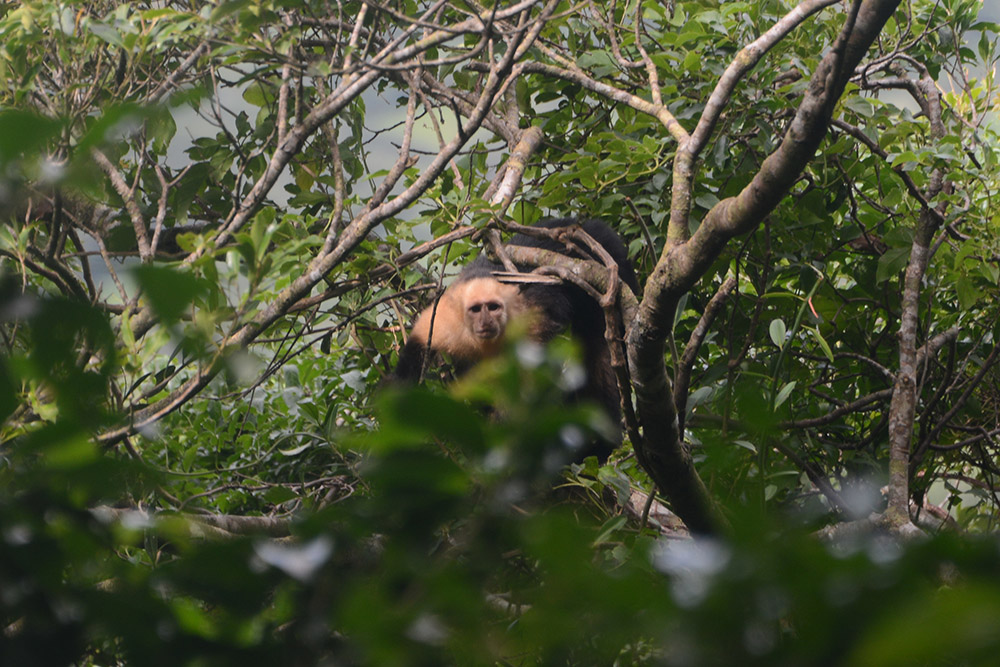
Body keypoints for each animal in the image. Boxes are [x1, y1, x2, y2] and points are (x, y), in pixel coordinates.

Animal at [393, 218, 638, 460]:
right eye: (475, 309)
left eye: (493, 307)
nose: (486, 322)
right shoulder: (444, 320)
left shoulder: (526, 320)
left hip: (609, 261)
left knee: (599, 348)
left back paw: (602, 444)